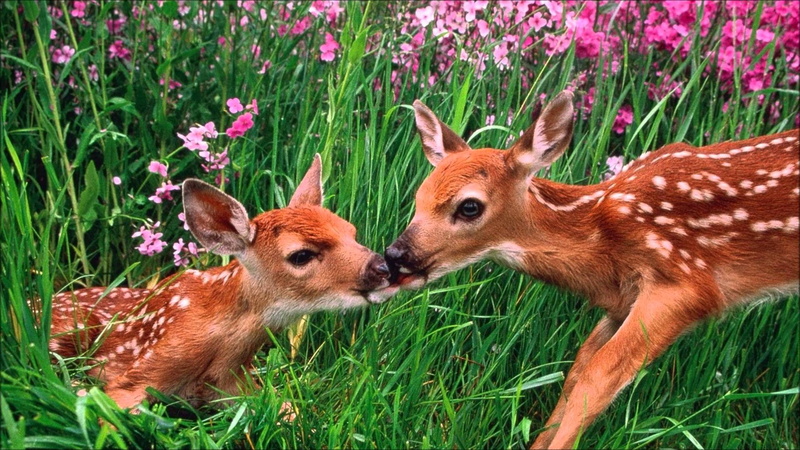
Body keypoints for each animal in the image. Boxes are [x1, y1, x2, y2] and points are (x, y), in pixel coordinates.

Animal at [48, 154, 393, 412]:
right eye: (301, 255)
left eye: (351, 231)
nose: (382, 266)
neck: (223, 346)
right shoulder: (141, 369)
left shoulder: (237, 385)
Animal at [384, 90, 799, 449]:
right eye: (420, 197)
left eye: (469, 206)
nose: (395, 254)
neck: (603, 236)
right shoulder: (621, 303)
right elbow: (578, 369)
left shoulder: (684, 281)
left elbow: (599, 377)